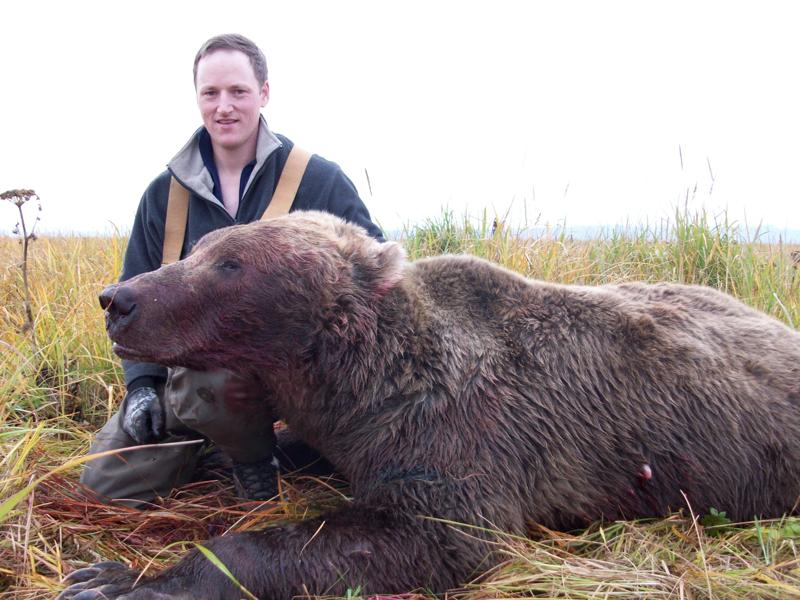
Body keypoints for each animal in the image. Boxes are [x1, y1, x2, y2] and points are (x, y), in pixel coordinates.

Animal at [61, 211, 800, 599]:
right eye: (200, 248)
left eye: (231, 264)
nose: (117, 298)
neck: (360, 379)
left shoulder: (462, 435)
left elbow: (439, 535)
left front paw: (121, 579)